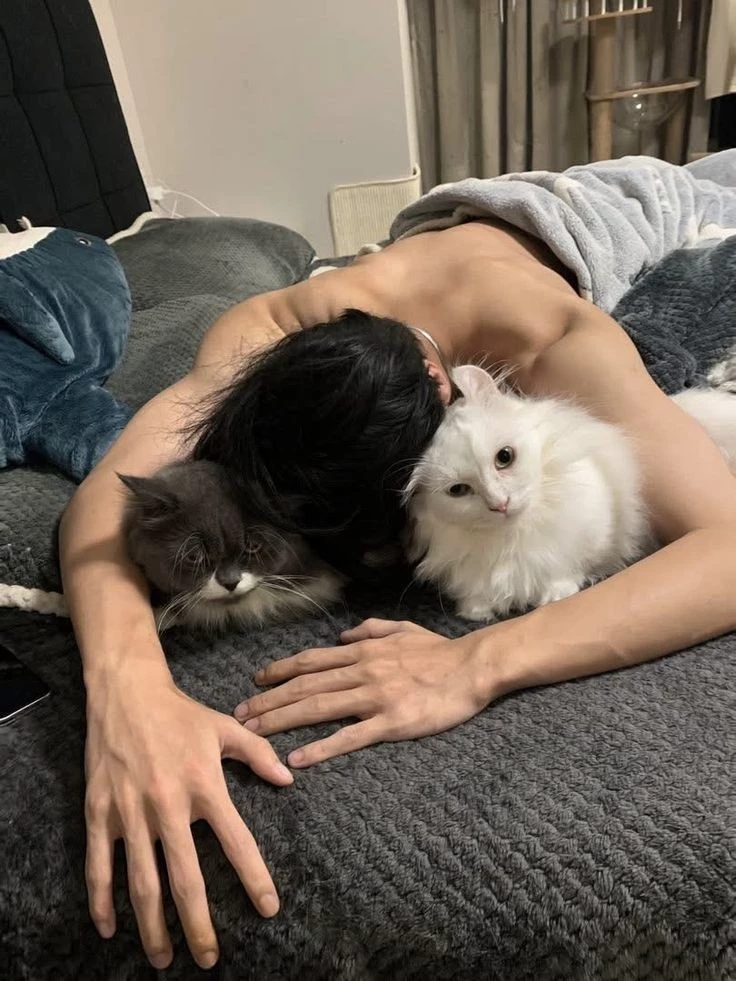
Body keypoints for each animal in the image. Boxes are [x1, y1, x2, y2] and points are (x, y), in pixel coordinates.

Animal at [406, 364, 736, 622]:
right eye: (458, 490)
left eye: (504, 457)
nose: (500, 504)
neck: (513, 535)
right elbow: (478, 594)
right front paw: (477, 611)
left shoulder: (596, 531)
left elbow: (568, 565)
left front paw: (557, 594)